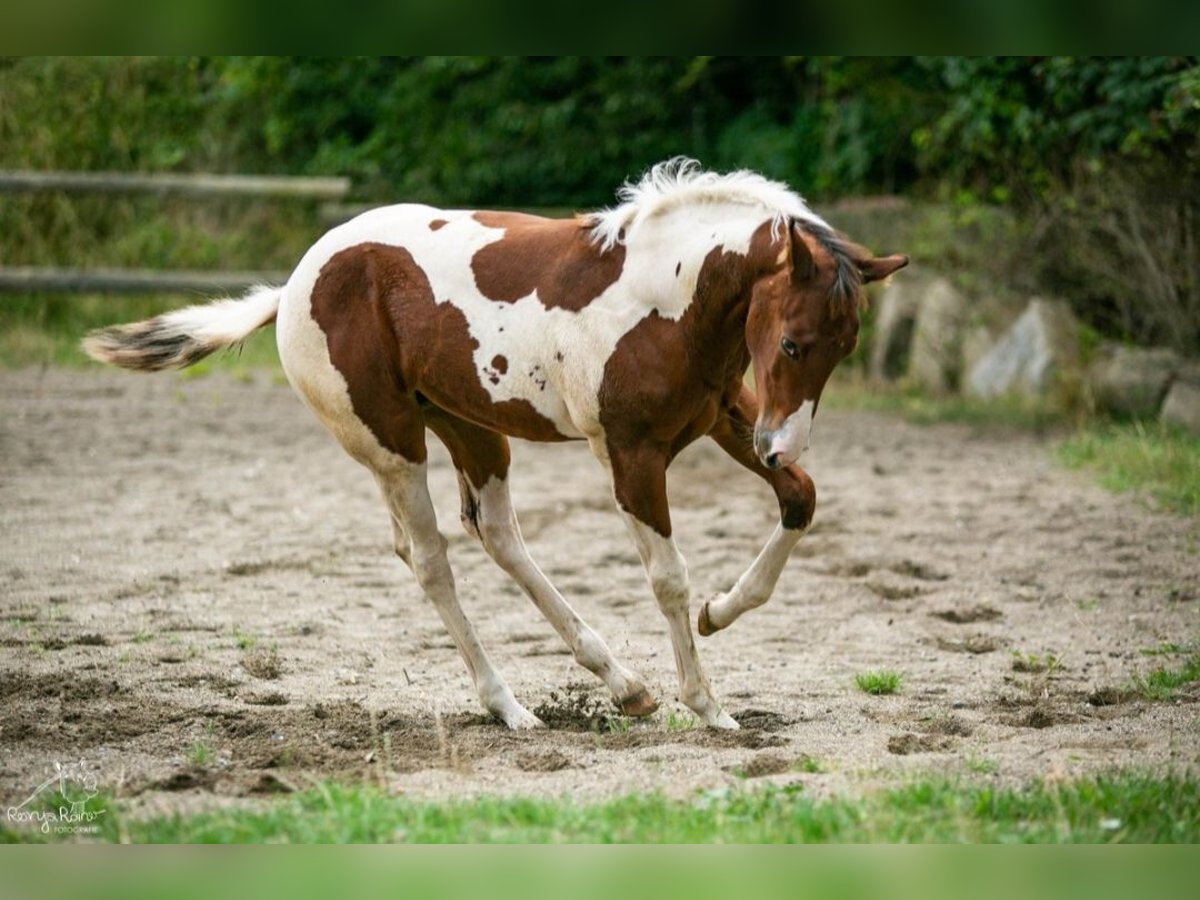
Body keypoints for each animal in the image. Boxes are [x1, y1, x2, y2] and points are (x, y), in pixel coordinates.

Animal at [84, 158, 902, 729]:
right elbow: (668, 578)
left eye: (846, 345)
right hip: (391, 444)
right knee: (430, 559)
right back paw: (509, 705)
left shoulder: (724, 418)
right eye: (793, 343)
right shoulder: (632, 454)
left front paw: (721, 610)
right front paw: (709, 705)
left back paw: (624, 687)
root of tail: (293, 286)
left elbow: (801, 501)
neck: (666, 298)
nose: (780, 445)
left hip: (471, 426)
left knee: (497, 533)